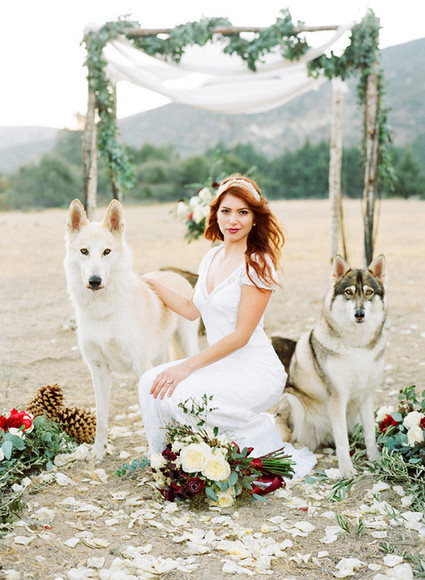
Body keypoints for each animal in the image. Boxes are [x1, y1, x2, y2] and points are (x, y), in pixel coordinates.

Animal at [64, 199, 199, 461]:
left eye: (106, 252)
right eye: (84, 251)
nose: (94, 281)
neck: (103, 311)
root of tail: (173, 274)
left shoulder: (140, 366)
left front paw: (154, 456)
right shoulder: (98, 370)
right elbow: (101, 418)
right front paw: (98, 452)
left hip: (186, 345)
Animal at [274, 254, 387, 478]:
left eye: (369, 292)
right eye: (349, 292)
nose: (359, 314)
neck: (357, 346)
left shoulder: (367, 395)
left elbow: (370, 433)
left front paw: (376, 459)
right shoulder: (337, 397)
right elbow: (342, 441)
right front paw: (347, 470)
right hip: (291, 400)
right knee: (287, 440)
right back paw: (298, 451)